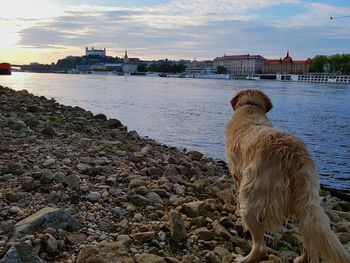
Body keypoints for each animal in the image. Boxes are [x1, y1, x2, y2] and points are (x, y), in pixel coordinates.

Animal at [226, 89, 348, 262]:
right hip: (306, 200)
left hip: (251, 195)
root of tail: (294, 156)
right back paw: (301, 258)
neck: (250, 108)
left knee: (261, 247)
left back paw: (242, 258)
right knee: (310, 233)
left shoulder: (236, 173)